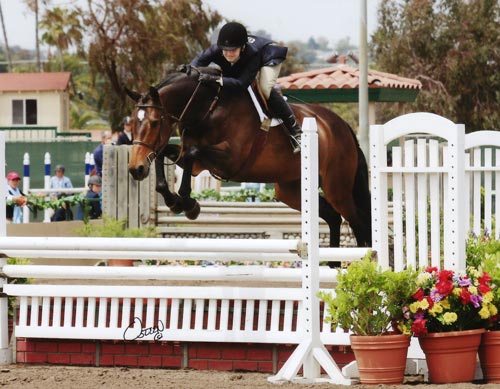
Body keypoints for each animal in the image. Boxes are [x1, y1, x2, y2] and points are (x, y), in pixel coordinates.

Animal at [125, 65, 372, 253]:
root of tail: (342, 126)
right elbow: (165, 154)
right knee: (333, 217)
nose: (136, 169)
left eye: (154, 123)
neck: (207, 108)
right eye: (133, 124)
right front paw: (173, 200)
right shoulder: (192, 156)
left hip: (336, 187)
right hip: (291, 190)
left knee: (358, 220)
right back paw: (333, 264)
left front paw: (188, 203)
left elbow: (192, 153)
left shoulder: (230, 159)